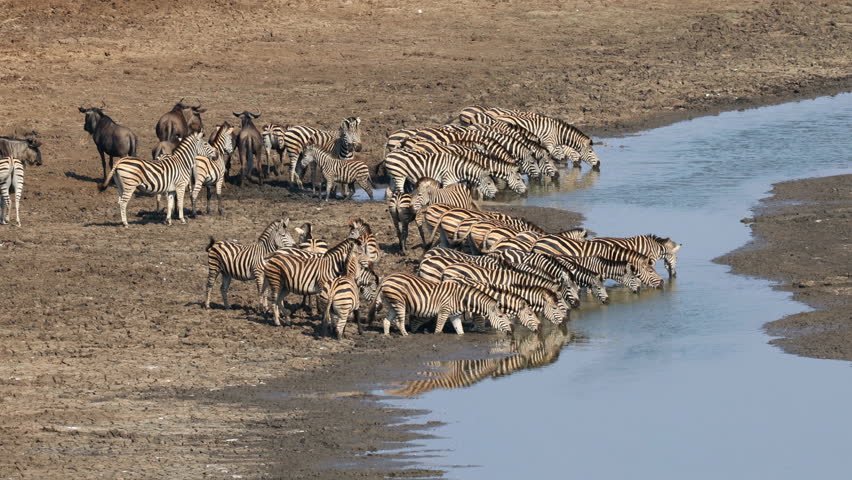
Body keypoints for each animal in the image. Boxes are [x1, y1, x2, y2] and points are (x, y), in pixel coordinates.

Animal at [377, 273, 511, 336]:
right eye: (500, 316)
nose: (510, 332)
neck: (461, 298)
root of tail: (387, 278)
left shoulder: (455, 316)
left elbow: (460, 331)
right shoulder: (444, 311)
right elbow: (438, 329)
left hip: (392, 303)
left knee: (386, 320)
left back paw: (387, 335)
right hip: (399, 302)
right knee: (399, 322)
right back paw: (406, 335)